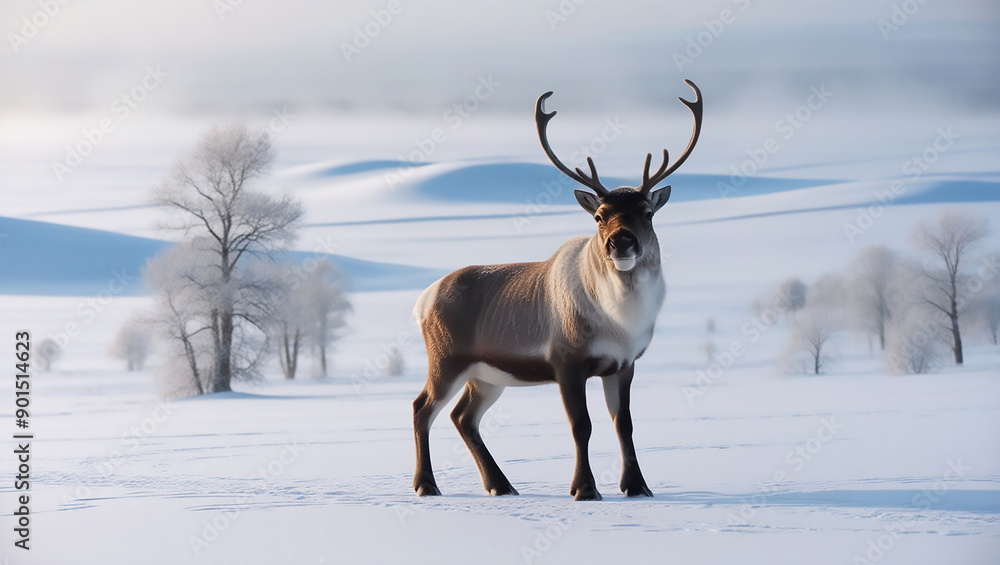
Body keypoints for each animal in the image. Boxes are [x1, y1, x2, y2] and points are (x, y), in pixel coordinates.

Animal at [412, 79, 703, 500]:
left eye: (648, 212)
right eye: (599, 215)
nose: (621, 242)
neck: (620, 322)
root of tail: (422, 300)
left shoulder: (625, 363)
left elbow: (624, 424)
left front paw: (636, 486)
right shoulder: (566, 360)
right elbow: (582, 425)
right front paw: (584, 488)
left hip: (486, 375)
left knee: (462, 416)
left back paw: (500, 485)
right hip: (446, 359)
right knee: (422, 407)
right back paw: (426, 485)